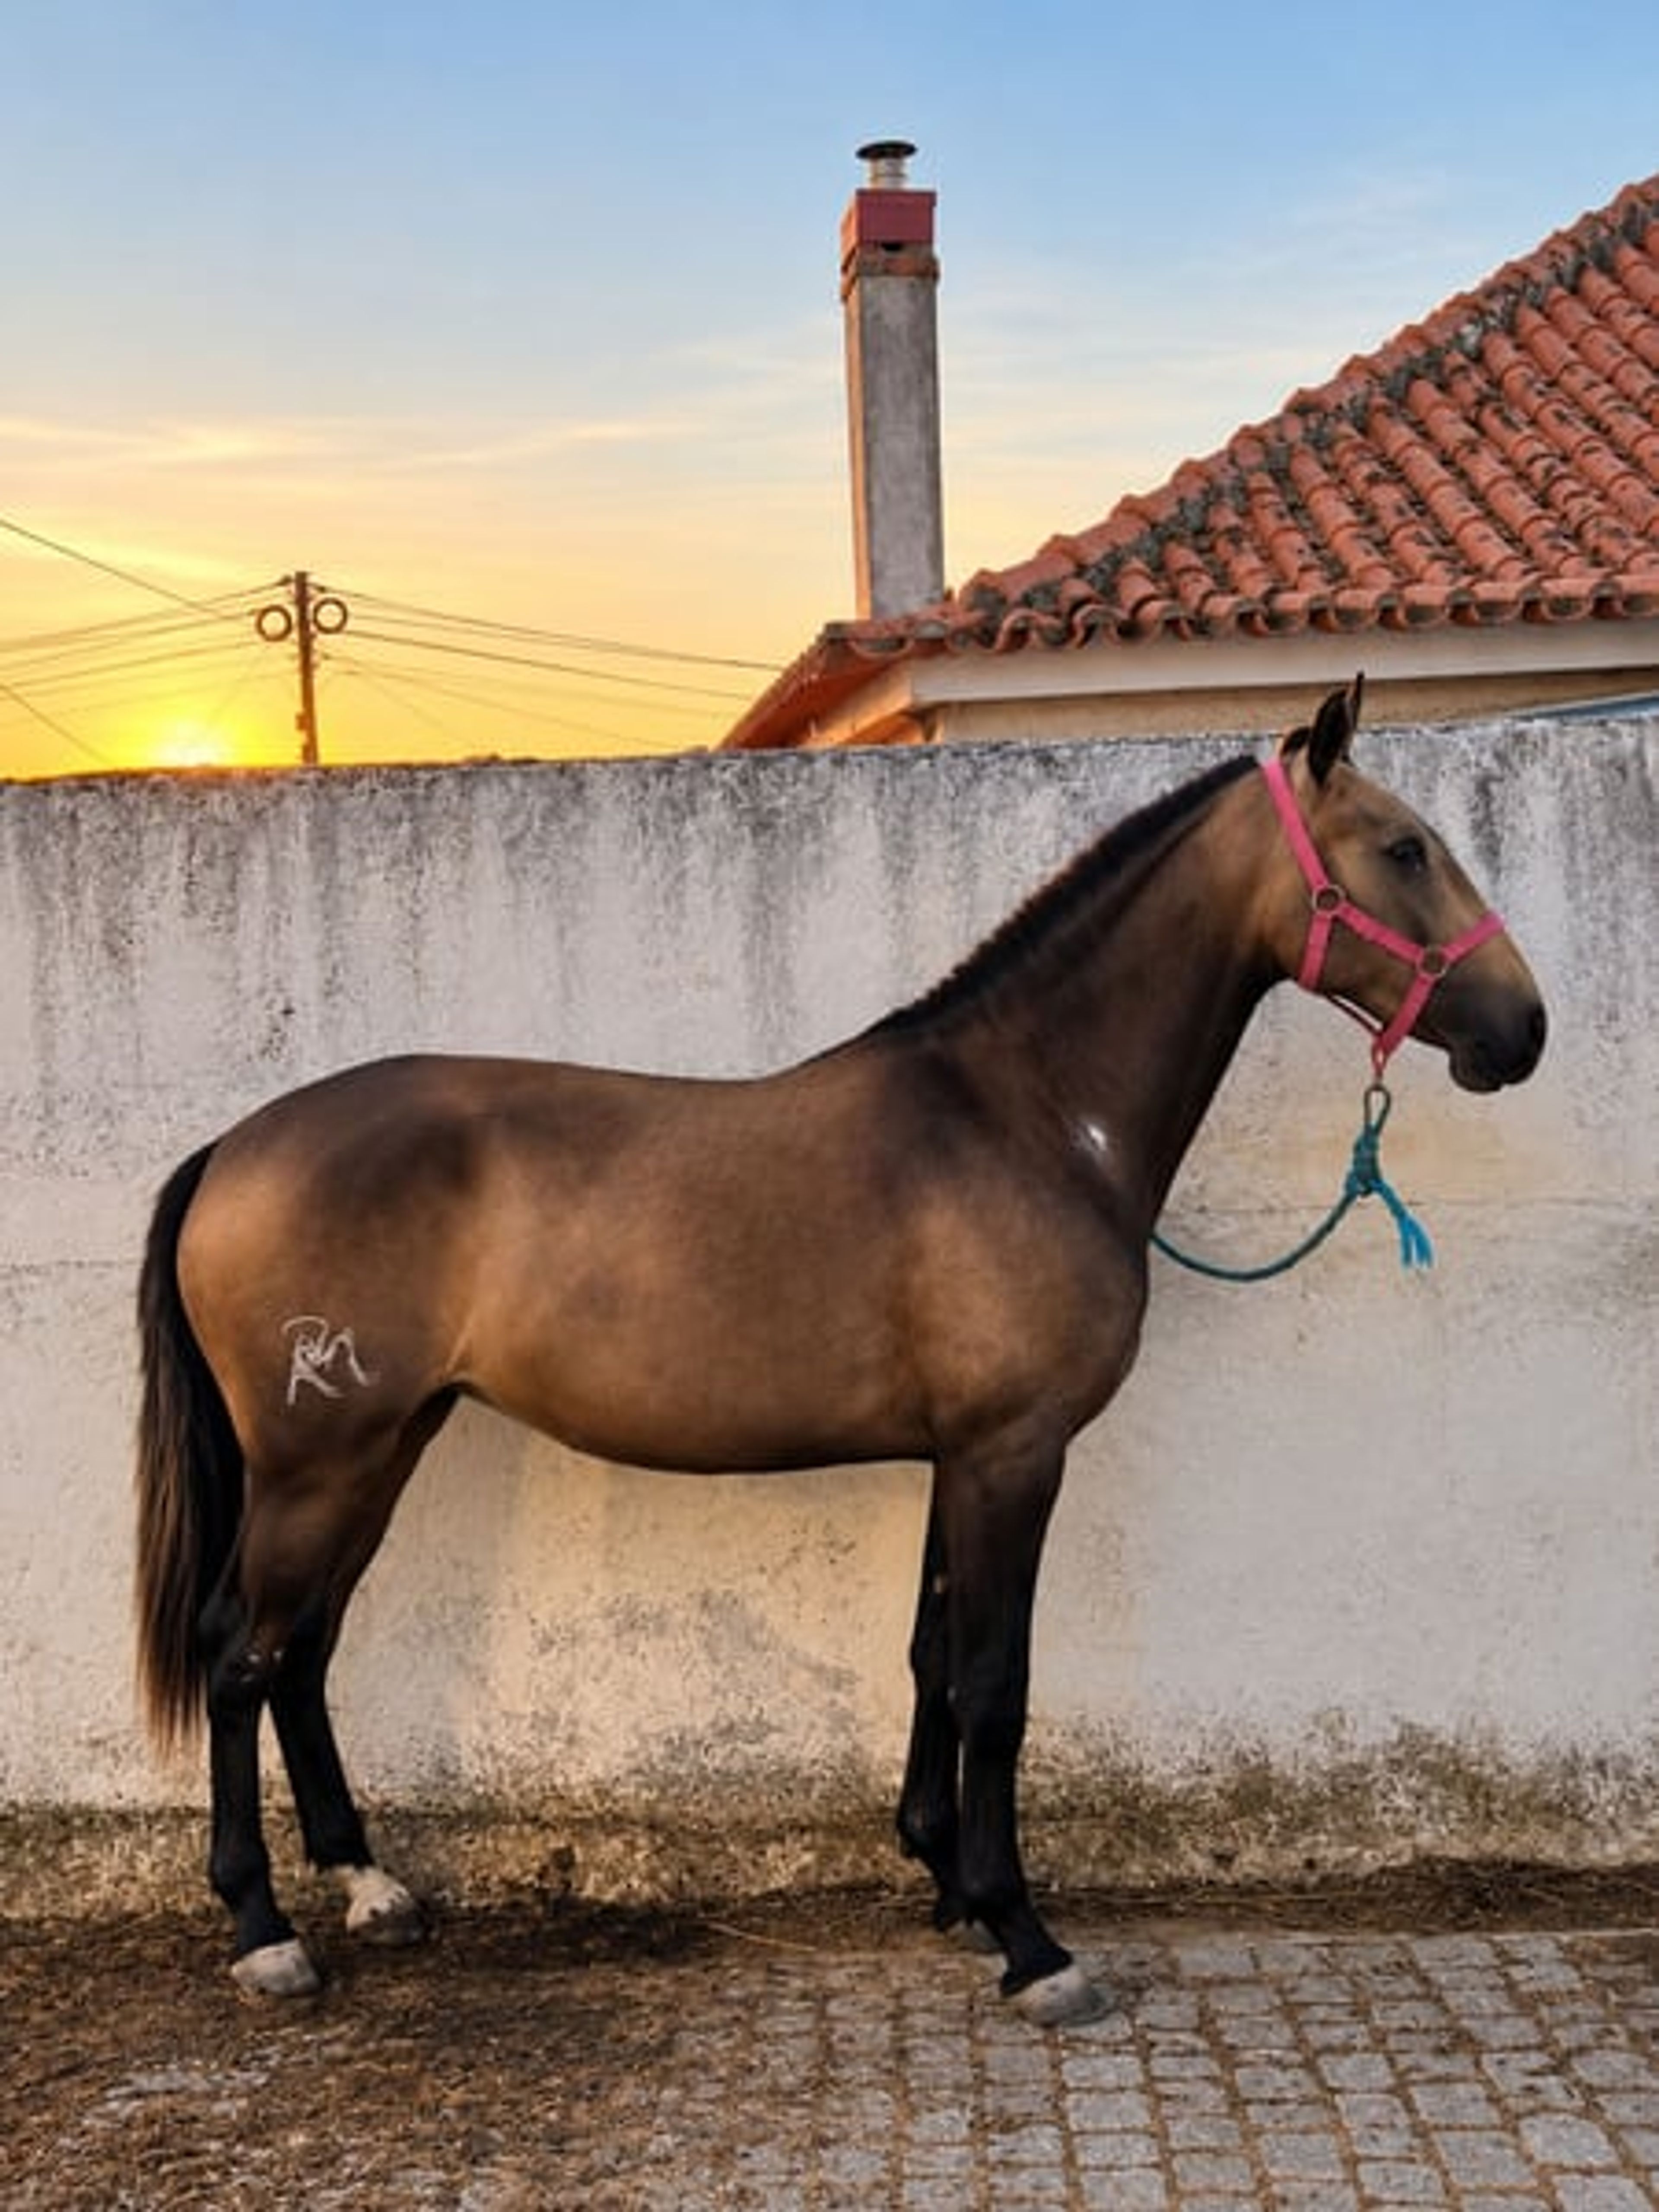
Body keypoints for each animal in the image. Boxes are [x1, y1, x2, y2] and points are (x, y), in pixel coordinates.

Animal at [135, 681, 1546, 2024]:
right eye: (1403, 846)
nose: (1521, 1029)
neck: (1028, 1114)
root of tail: (234, 1146)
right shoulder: (1012, 1452)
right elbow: (991, 1683)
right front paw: (1029, 1940)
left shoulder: (959, 1454)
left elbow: (932, 1658)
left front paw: (948, 1881)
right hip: (321, 1458)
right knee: (240, 1650)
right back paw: (263, 1929)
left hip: (384, 1443)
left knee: (304, 1646)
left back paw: (370, 1885)